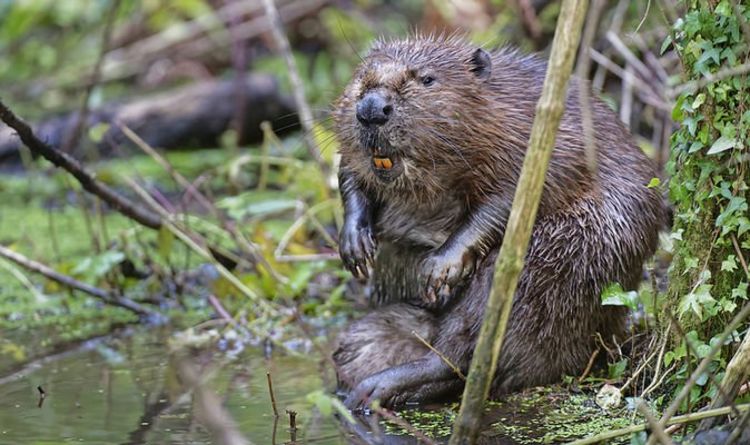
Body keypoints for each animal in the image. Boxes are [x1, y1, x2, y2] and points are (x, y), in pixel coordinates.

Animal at [332, 35, 668, 410]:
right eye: (361, 76)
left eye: (427, 79)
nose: (372, 109)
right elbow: (348, 172)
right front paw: (355, 246)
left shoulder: (535, 143)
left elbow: (505, 203)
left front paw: (439, 269)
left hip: (559, 260)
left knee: (465, 353)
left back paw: (374, 388)